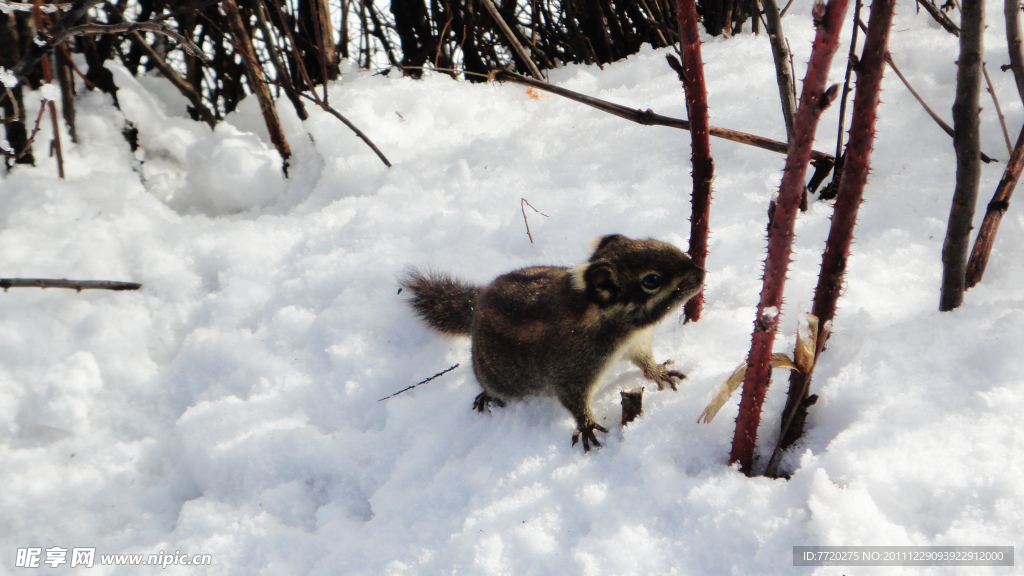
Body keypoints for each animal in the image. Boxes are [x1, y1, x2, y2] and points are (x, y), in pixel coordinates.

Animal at [399, 233, 704, 448]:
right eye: (652, 280)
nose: (700, 273)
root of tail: (477, 303)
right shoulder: (572, 368)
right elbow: (573, 398)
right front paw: (587, 424)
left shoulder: (637, 344)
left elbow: (644, 361)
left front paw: (659, 372)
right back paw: (486, 395)